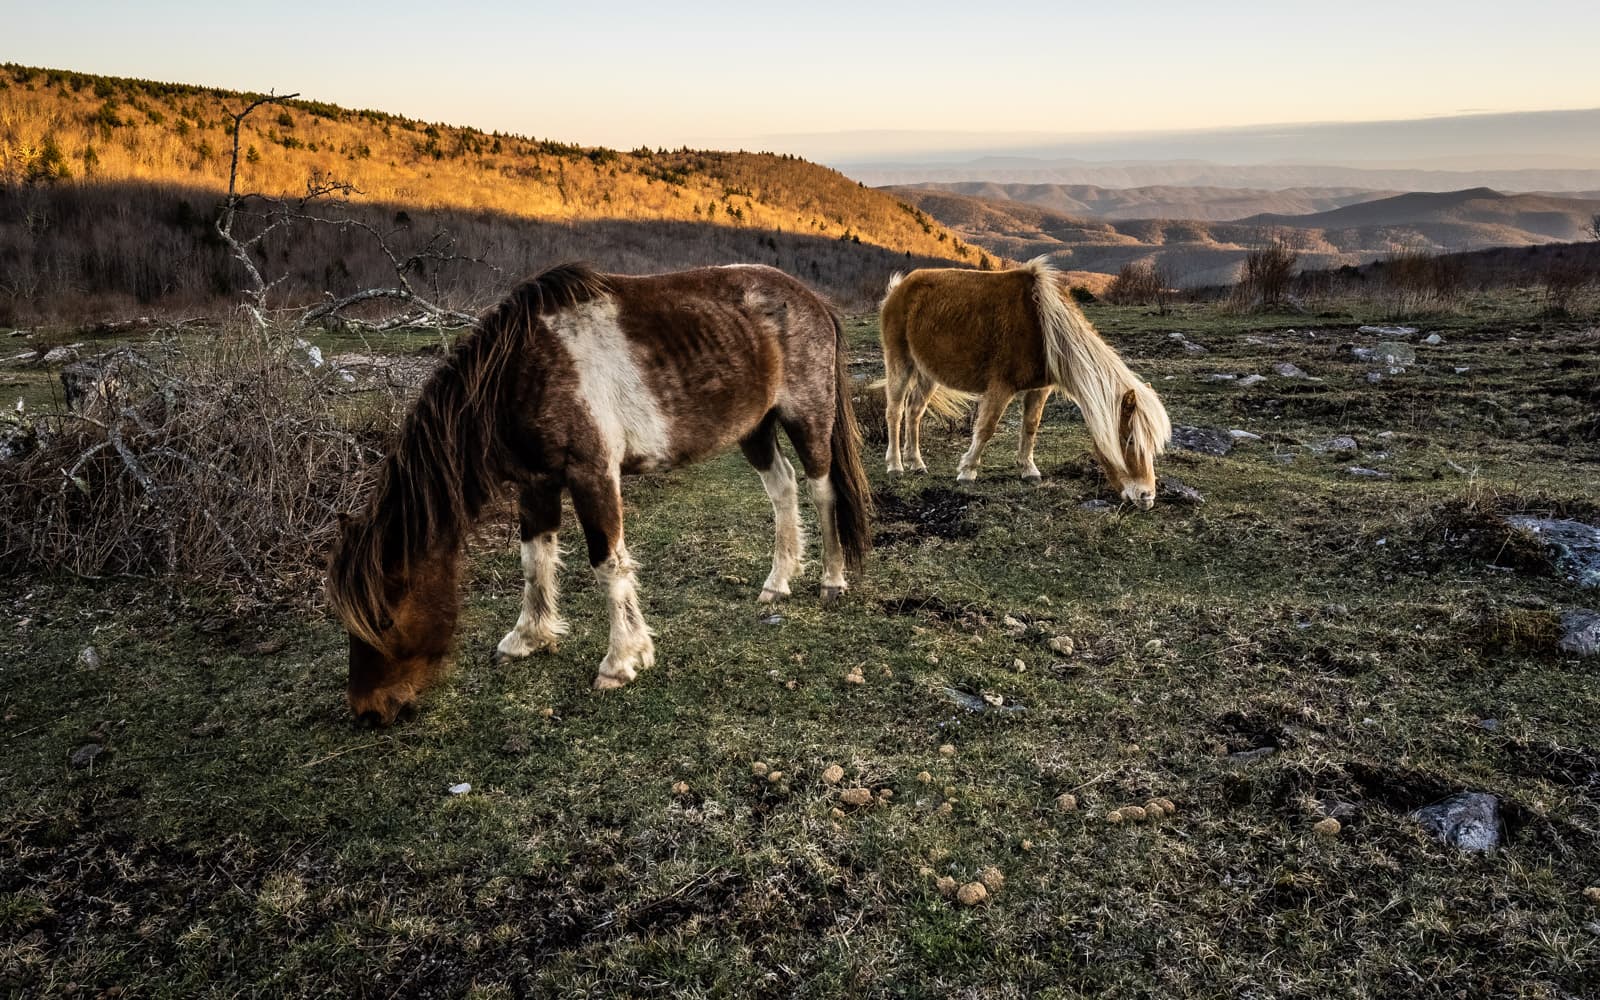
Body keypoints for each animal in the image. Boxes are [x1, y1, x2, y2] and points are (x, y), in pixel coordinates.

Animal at [328, 260, 876, 720]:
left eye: (382, 619)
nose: (367, 711)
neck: (525, 372)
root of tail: (812, 299)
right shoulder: (536, 483)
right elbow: (534, 560)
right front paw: (528, 637)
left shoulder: (592, 474)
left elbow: (607, 563)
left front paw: (621, 661)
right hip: (755, 427)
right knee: (782, 488)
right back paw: (776, 583)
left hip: (808, 416)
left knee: (823, 490)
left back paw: (831, 581)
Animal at [876, 257, 1177, 505]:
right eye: (1129, 440)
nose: (1147, 497)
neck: (1044, 327)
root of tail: (899, 287)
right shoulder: (1000, 387)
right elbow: (986, 428)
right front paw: (967, 471)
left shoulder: (1039, 389)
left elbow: (1030, 427)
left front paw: (1028, 470)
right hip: (900, 362)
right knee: (895, 411)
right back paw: (895, 466)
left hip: (928, 373)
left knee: (914, 412)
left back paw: (917, 464)